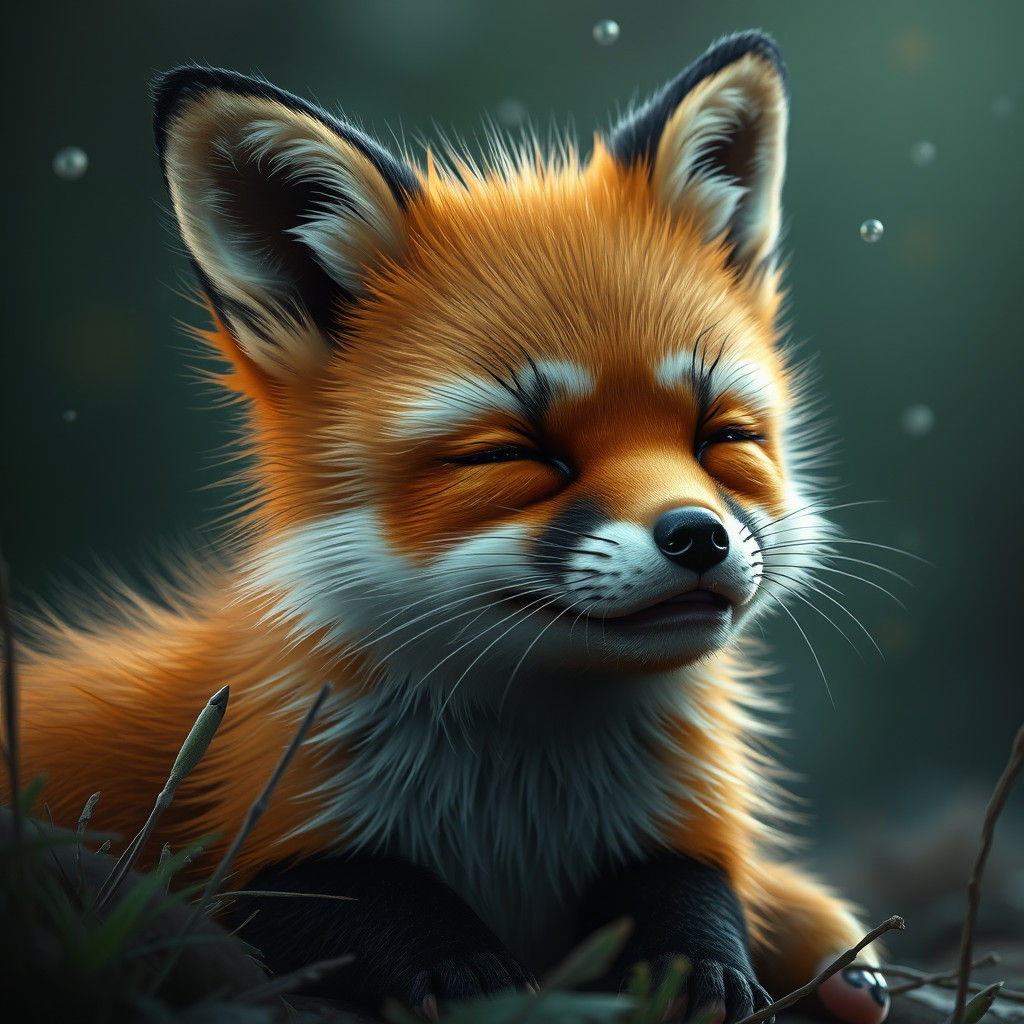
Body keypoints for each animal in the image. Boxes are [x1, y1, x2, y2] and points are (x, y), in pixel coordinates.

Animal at [3, 29, 893, 1024]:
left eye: (720, 438)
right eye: (516, 453)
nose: (698, 535)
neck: (523, 806)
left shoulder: (675, 823)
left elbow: (690, 893)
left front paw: (701, 968)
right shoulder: (264, 812)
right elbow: (363, 904)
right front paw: (471, 975)